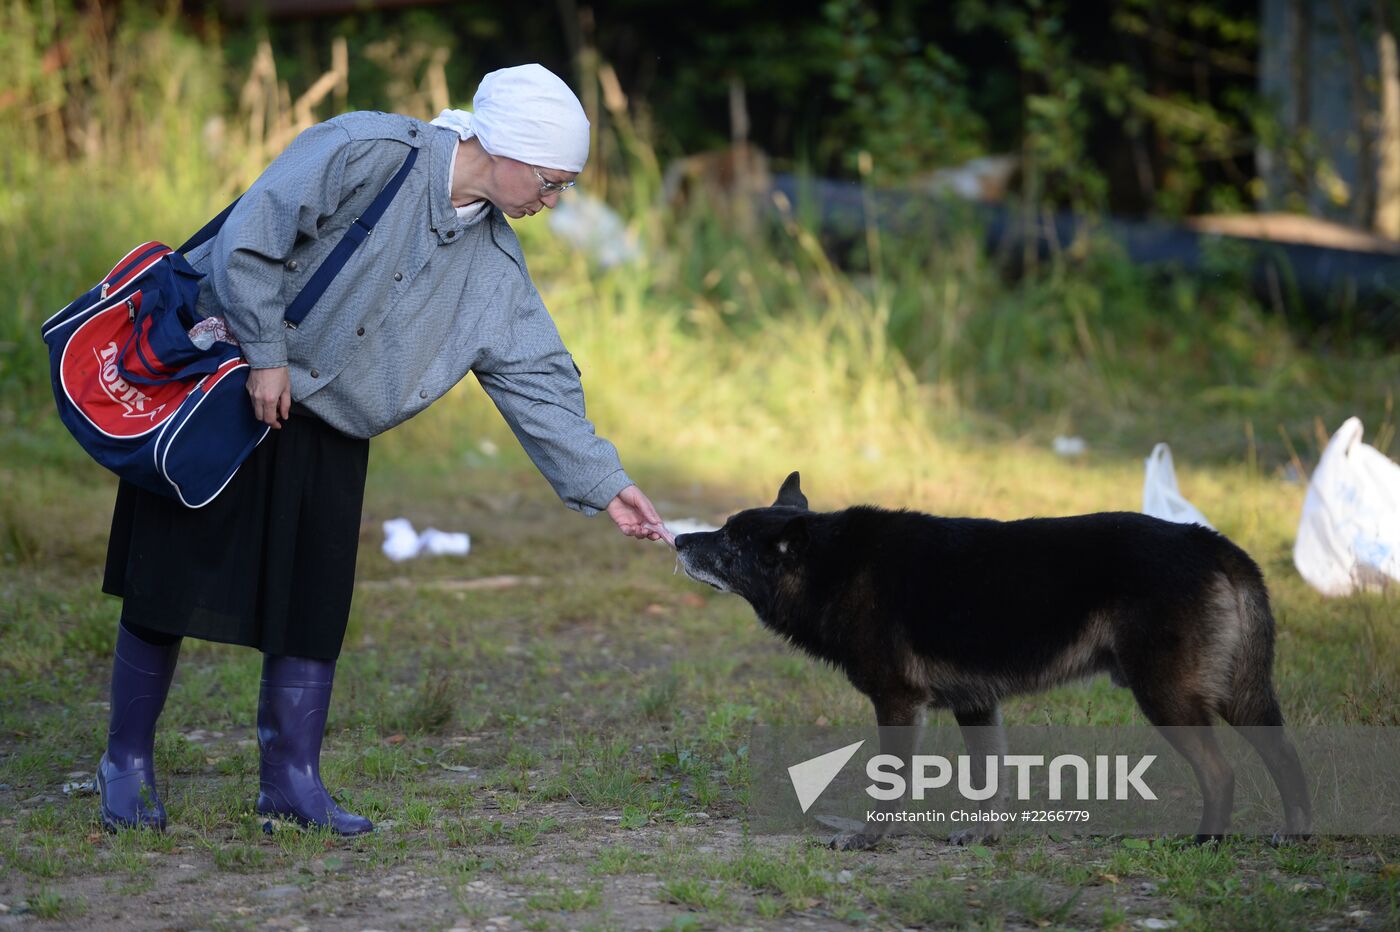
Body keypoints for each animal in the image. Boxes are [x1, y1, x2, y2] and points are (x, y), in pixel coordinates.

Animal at [677, 475, 1310, 845]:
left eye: (729, 541)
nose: (680, 541)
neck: (835, 567)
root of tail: (1208, 541)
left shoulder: (899, 704)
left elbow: (893, 783)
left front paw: (869, 839)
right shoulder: (977, 706)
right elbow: (988, 782)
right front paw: (983, 838)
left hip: (1168, 698)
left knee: (1222, 772)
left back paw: (1207, 842)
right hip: (1235, 698)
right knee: (1286, 758)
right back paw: (1297, 836)